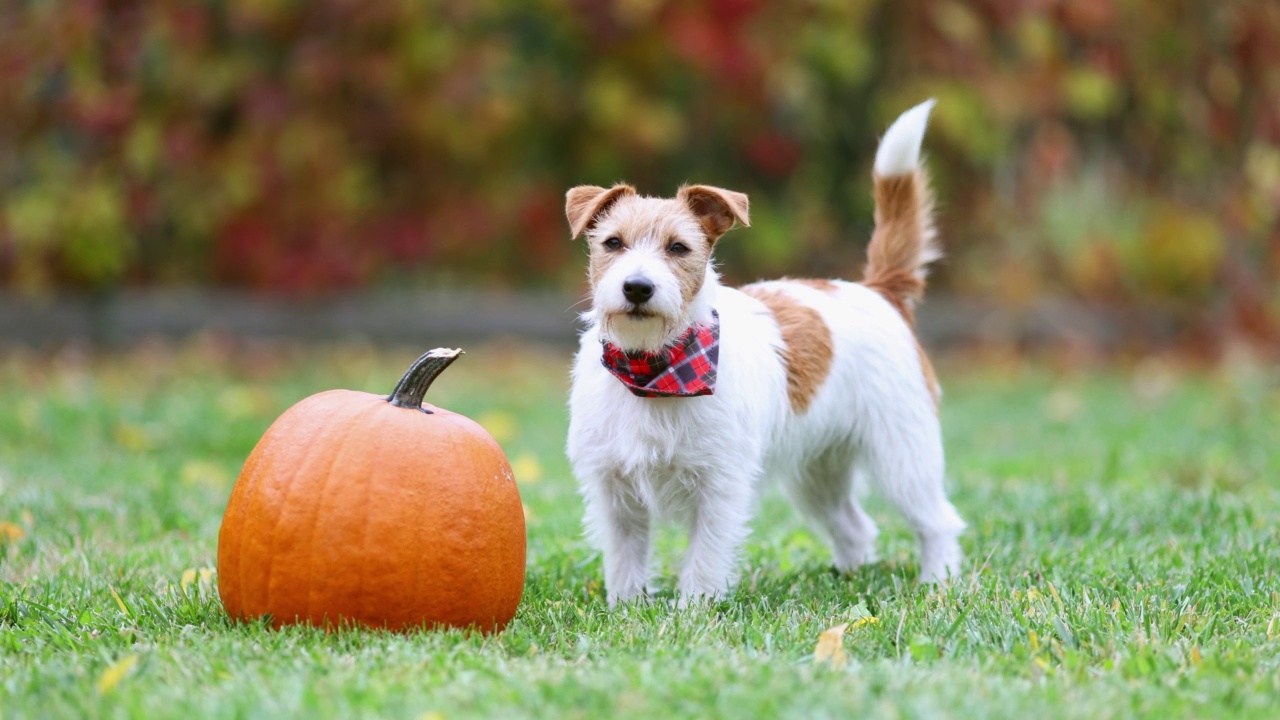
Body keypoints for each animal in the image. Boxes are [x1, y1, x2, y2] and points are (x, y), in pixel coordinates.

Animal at [565, 99, 962, 604]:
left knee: (937, 521)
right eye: (613, 243)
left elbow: (704, 558)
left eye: (679, 248)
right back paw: (847, 579)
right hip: (818, 473)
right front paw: (627, 608)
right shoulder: (614, 491)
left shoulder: (719, 487)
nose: (637, 287)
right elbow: (624, 560)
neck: (653, 371)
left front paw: (692, 610)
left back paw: (937, 582)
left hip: (903, 455)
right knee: (855, 526)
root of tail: (878, 290)